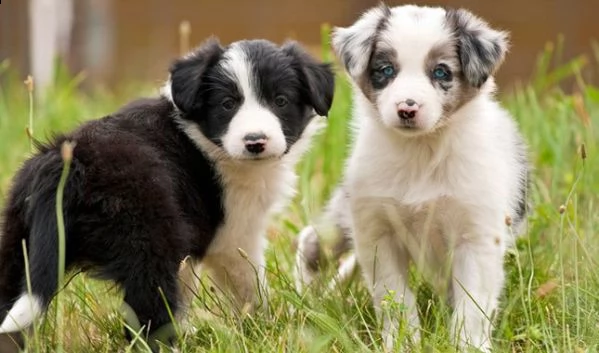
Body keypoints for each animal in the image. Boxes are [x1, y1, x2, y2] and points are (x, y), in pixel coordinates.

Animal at [0, 37, 336, 350]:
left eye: (280, 100)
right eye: (227, 104)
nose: (255, 141)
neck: (206, 140)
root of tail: (66, 166)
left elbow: (187, 286)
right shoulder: (234, 234)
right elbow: (249, 283)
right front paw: (266, 325)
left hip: (18, 241)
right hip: (148, 238)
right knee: (148, 309)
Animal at [296, 3, 528, 352]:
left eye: (442, 73)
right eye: (385, 70)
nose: (407, 109)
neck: (421, 153)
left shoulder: (477, 236)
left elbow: (472, 307)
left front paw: (468, 344)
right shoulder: (378, 231)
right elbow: (396, 300)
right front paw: (403, 342)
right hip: (345, 217)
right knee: (311, 240)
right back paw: (304, 300)